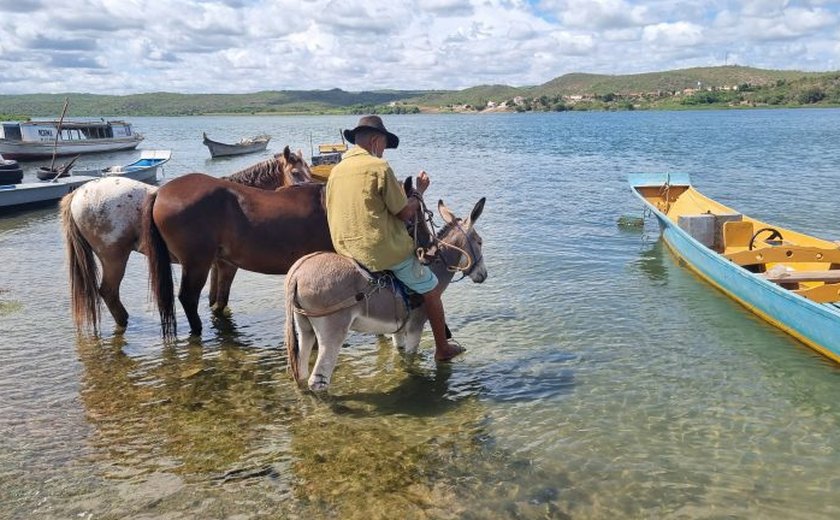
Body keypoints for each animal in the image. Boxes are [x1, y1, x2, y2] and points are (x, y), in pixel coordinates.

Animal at [60, 144, 314, 336]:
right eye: (295, 172)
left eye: (309, 171)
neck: (238, 201)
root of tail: (78, 193)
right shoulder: (223, 265)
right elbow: (219, 298)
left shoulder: (215, 265)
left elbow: (214, 298)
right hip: (115, 257)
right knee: (109, 292)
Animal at [288, 197, 488, 392]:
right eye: (480, 242)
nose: (484, 275)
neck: (431, 266)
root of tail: (297, 274)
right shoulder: (416, 326)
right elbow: (411, 358)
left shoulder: (398, 329)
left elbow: (400, 355)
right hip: (333, 331)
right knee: (318, 381)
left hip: (305, 328)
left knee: (302, 371)